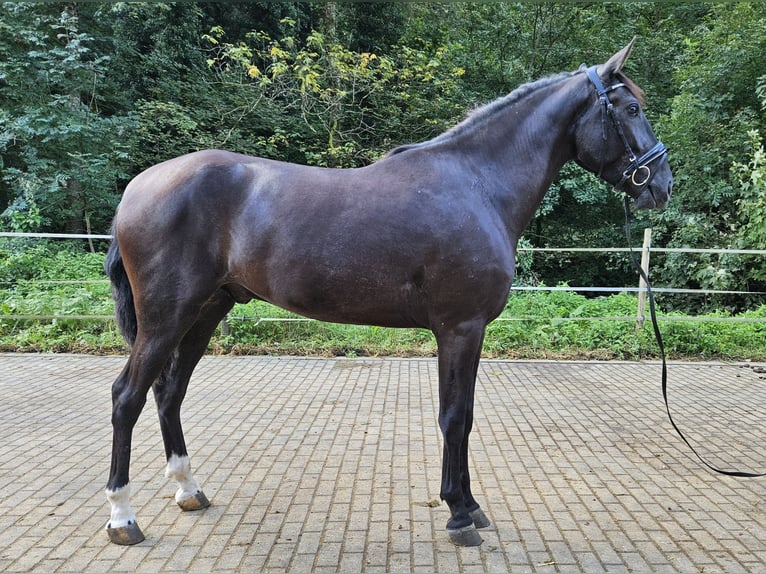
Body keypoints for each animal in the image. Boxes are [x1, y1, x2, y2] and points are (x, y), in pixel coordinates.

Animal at [103, 39, 672, 547]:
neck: (478, 185)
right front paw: (459, 514)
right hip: (166, 317)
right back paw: (122, 517)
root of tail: (137, 189)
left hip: (205, 311)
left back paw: (188, 490)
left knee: (170, 393)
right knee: (127, 396)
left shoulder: (469, 333)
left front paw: (469, 506)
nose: (661, 184)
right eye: (631, 107)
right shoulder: (459, 329)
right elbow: (454, 418)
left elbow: (463, 416)